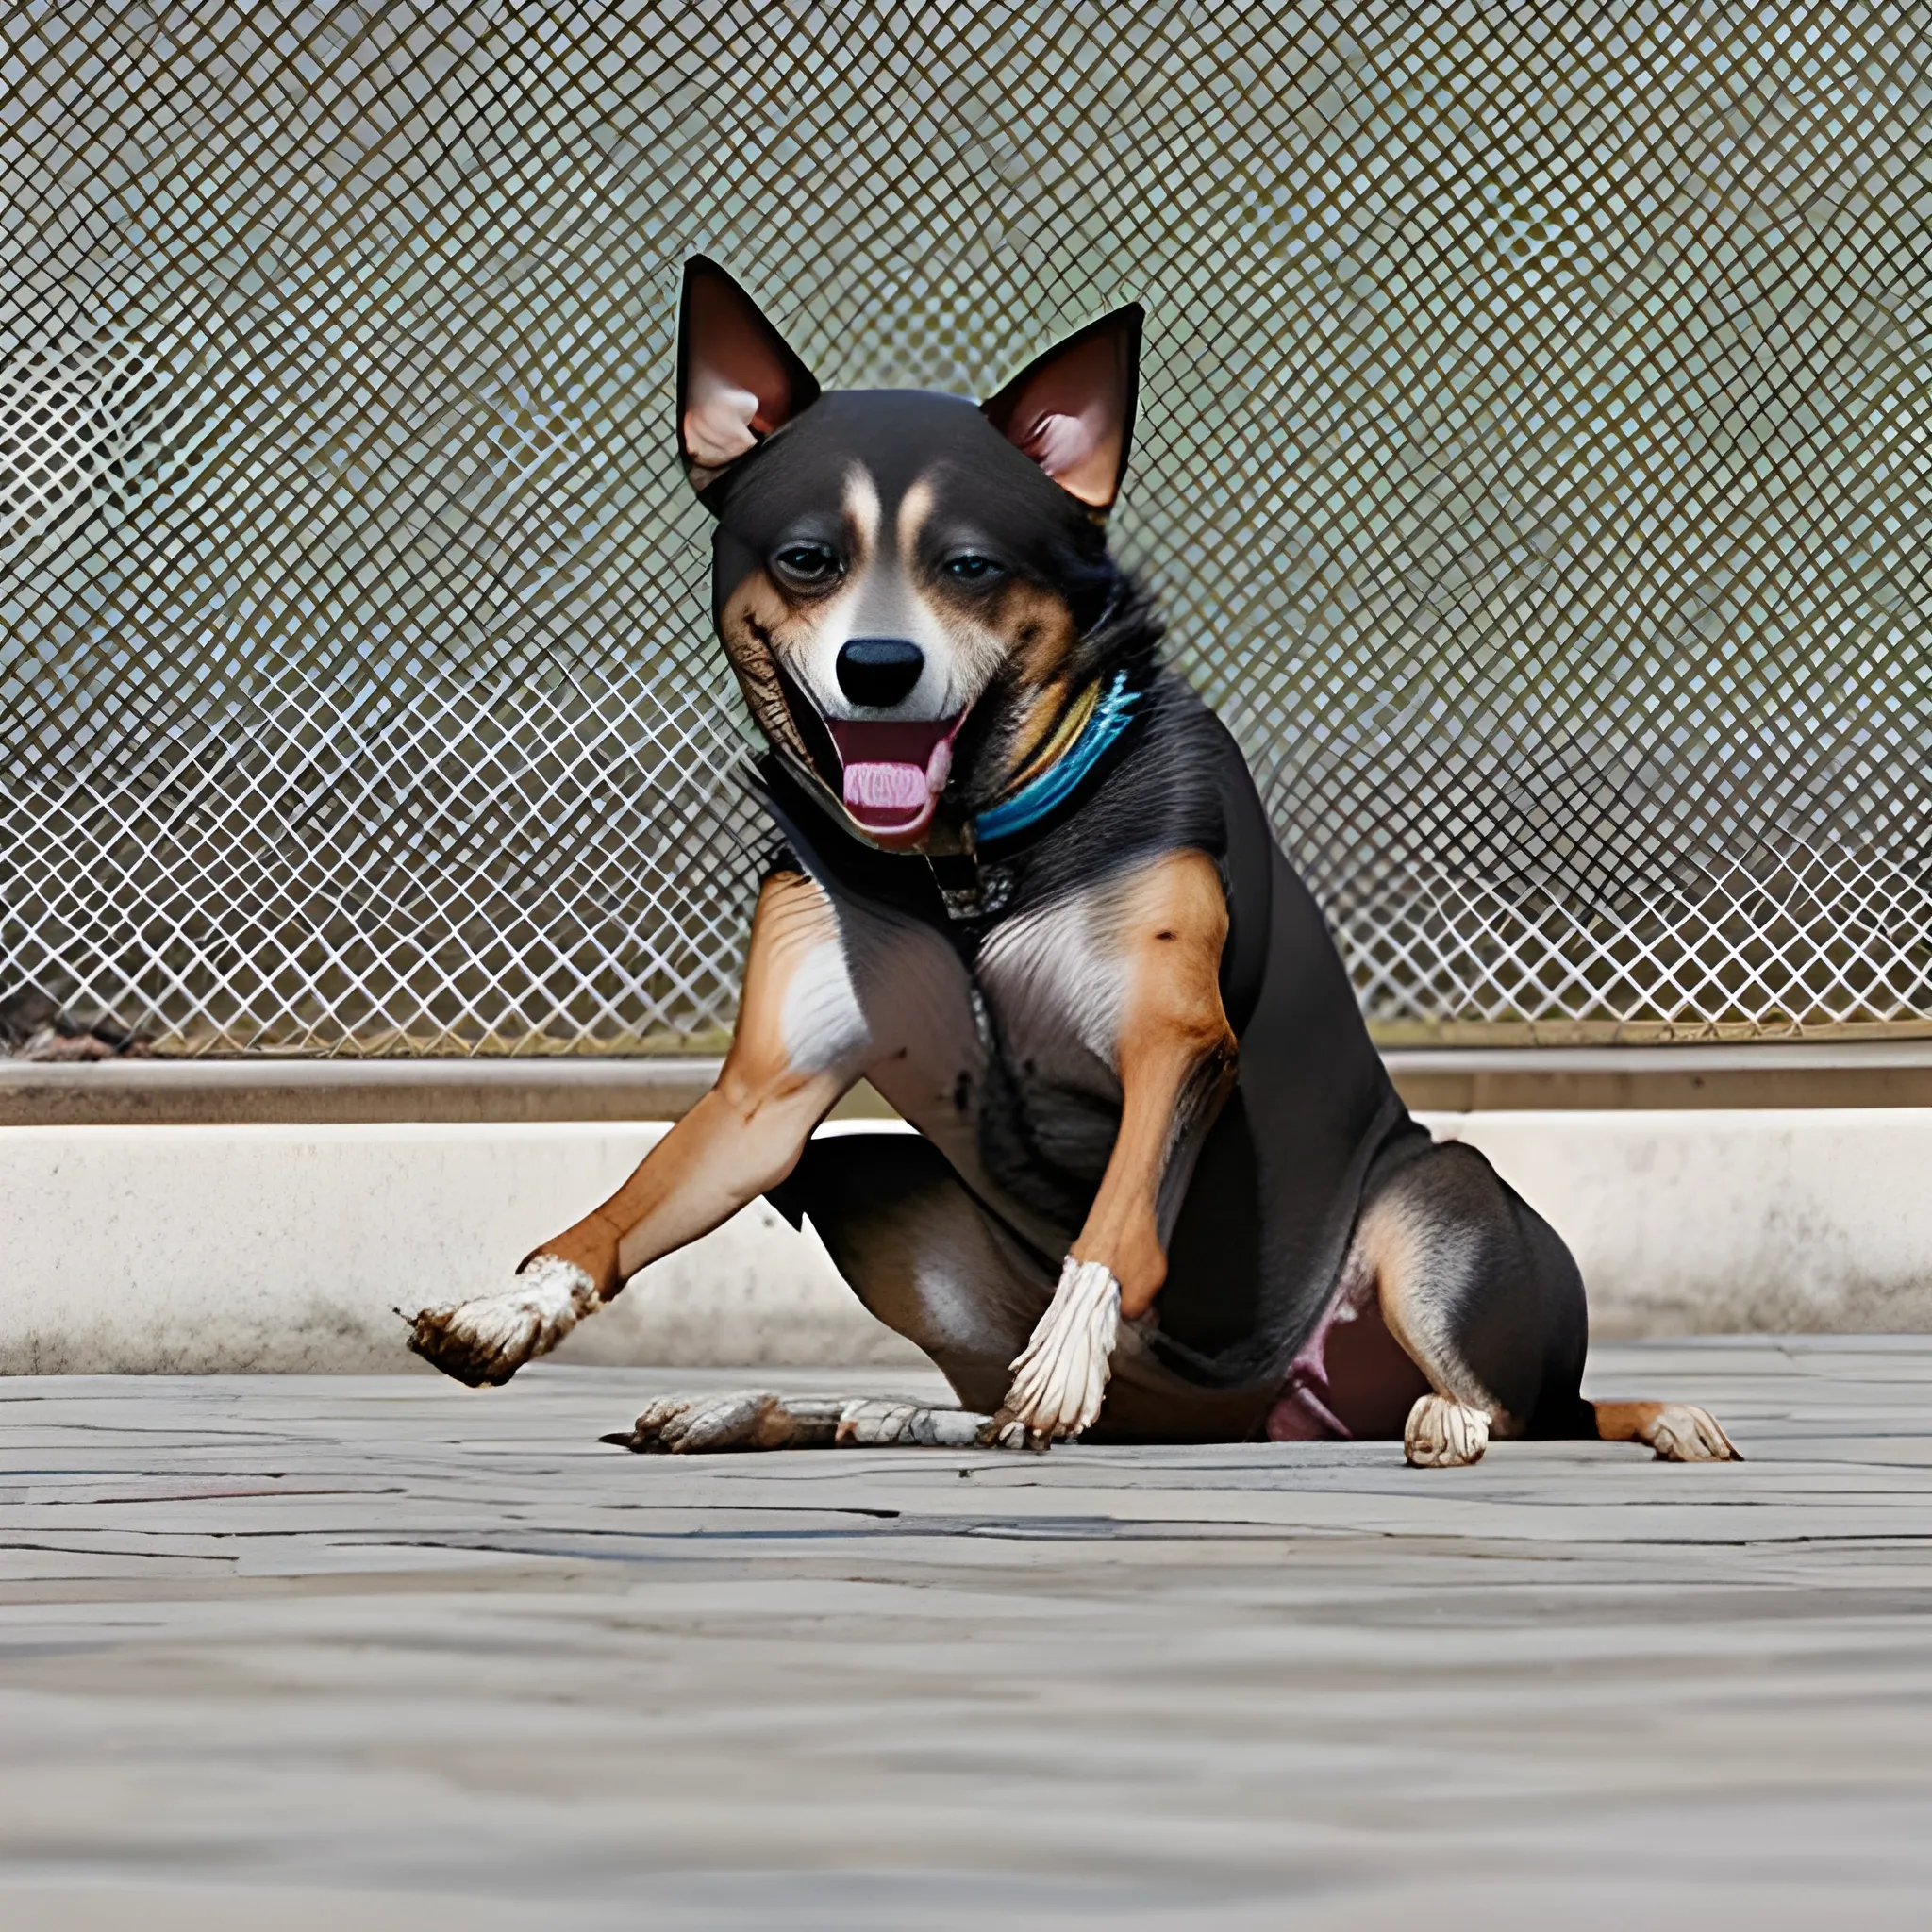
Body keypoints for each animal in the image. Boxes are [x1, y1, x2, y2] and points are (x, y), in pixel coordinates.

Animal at [408, 257, 1739, 1460]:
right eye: (805, 558)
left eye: (969, 565)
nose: (877, 668)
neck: (965, 861)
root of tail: (1257, 1412)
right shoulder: (768, 1093)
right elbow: (628, 1205)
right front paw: (509, 1305)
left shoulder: (1173, 1035)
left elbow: (1118, 1218)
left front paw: (1066, 1346)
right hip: (876, 1182)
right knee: (973, 1399)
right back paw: (800, 1410)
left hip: (1438, 1204)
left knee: (1506, 1400)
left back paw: (1446, 1415)